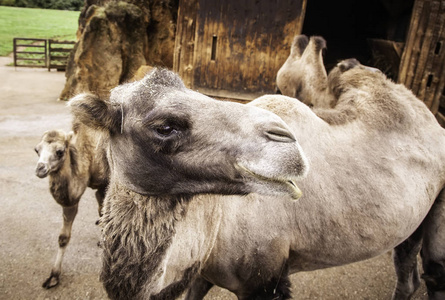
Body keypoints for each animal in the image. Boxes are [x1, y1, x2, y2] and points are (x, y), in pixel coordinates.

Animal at [33, 123, 108, 288]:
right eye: (37, 150)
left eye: (59, 151)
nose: (40, 169)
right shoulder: (73, 200)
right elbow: (63, 237)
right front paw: (53, 277)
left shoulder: (105, 185)